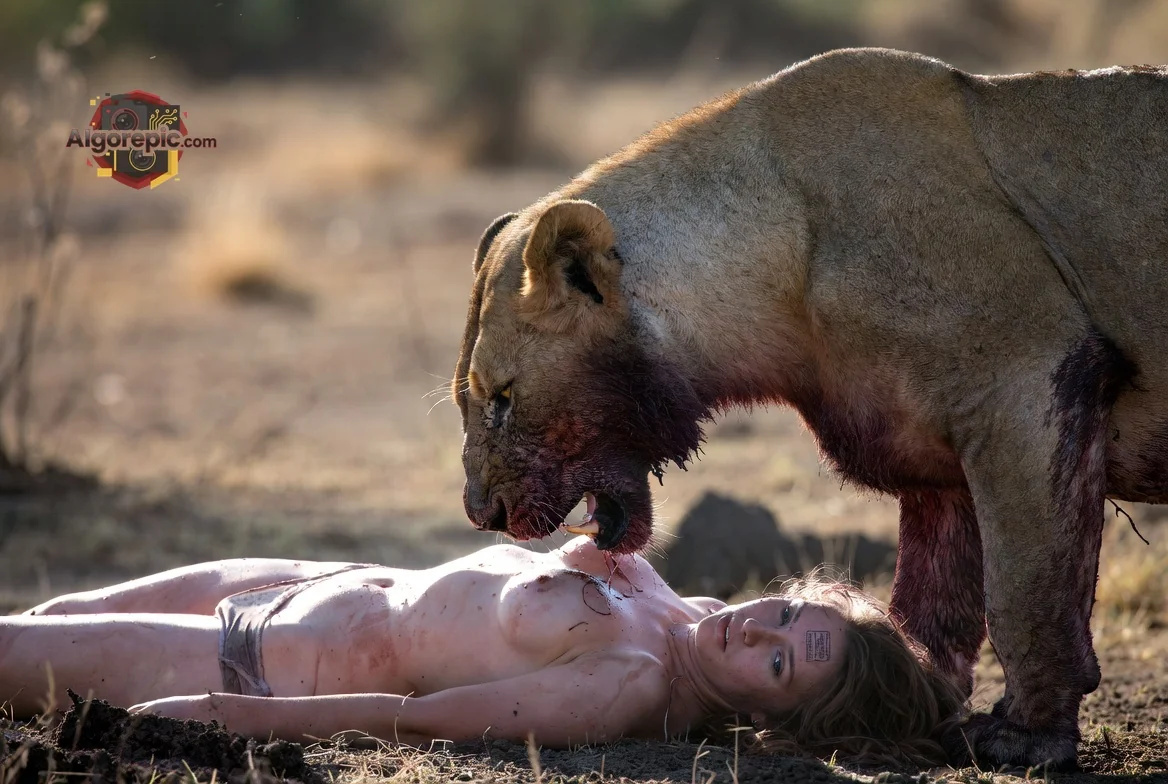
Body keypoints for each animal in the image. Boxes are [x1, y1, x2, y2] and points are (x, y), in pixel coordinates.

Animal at [452, 47, 1168, 770]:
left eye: (502, 399)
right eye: (470, 398)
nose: (483, 512)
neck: (785, 269)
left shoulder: (1024, 379)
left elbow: (1027, 590)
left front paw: (1024, 738)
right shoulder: (936, 458)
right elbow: (932, 603)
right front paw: (916, 701)